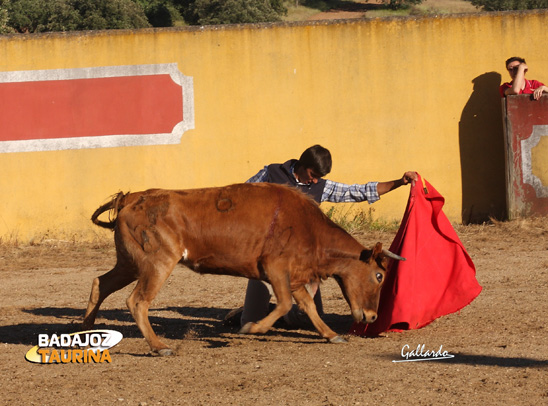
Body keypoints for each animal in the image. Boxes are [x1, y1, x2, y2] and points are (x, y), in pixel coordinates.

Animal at [85, 184, 402, 356]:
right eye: (379, 275)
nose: (372, 317)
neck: (309, 229)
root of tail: (131, 198)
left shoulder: (294, 276)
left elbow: (307, 306)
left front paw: (332, 334)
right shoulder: (275, 268)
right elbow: (285, 303)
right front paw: (252, 327)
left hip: (129, 263)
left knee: (101, 283)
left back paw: (85, 330)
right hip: (157, 262)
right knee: (137, 301)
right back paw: (160, 346)